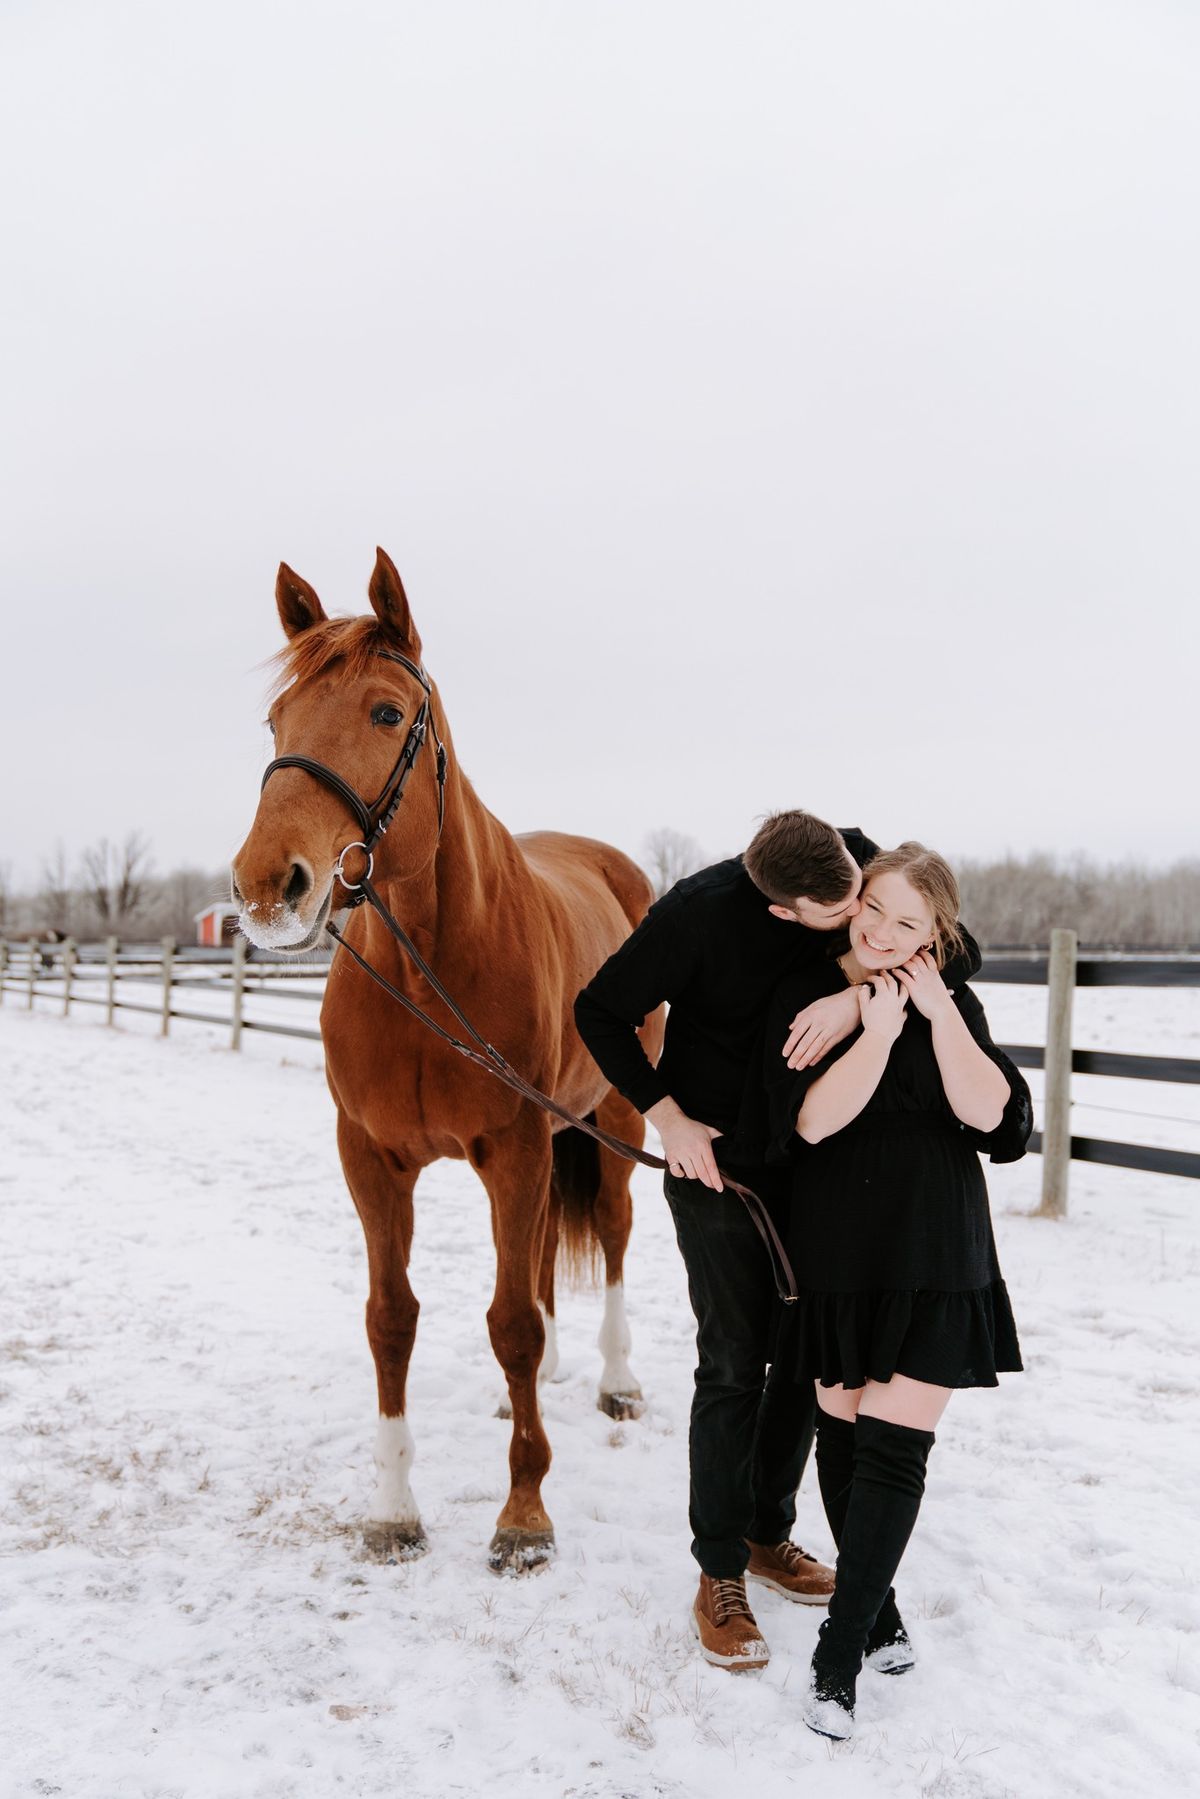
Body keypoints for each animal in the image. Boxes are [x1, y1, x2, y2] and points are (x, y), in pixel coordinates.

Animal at [232, 550, 665, 1575]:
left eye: (388, 713)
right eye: (276, 719)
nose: (268, 886)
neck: (426, 976)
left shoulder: (515, 1146)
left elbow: (508, 1319)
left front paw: (524, 1515)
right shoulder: (373, 1159)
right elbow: (393, 1319)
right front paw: (393, 1510)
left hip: (611, 1126)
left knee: (613, 1237)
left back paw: (614, 1379)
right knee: (541, 1255)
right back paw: (534, 1384)